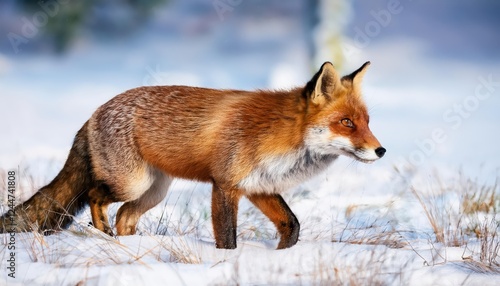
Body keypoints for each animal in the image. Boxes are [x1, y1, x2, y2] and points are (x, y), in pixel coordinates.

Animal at [0, 62, 382, 248]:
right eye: (346, 123)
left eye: (366, 121)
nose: (381, 150)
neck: (281, 137)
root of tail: (94, 113)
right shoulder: (225, 185)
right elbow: (227, 238)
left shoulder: (259, 187)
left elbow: (292, 225)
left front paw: (284, 257)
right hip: (132, 184)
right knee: (97, 196)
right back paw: (103, 232)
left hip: (153, 192)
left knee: (125, 215)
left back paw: (131, 246)